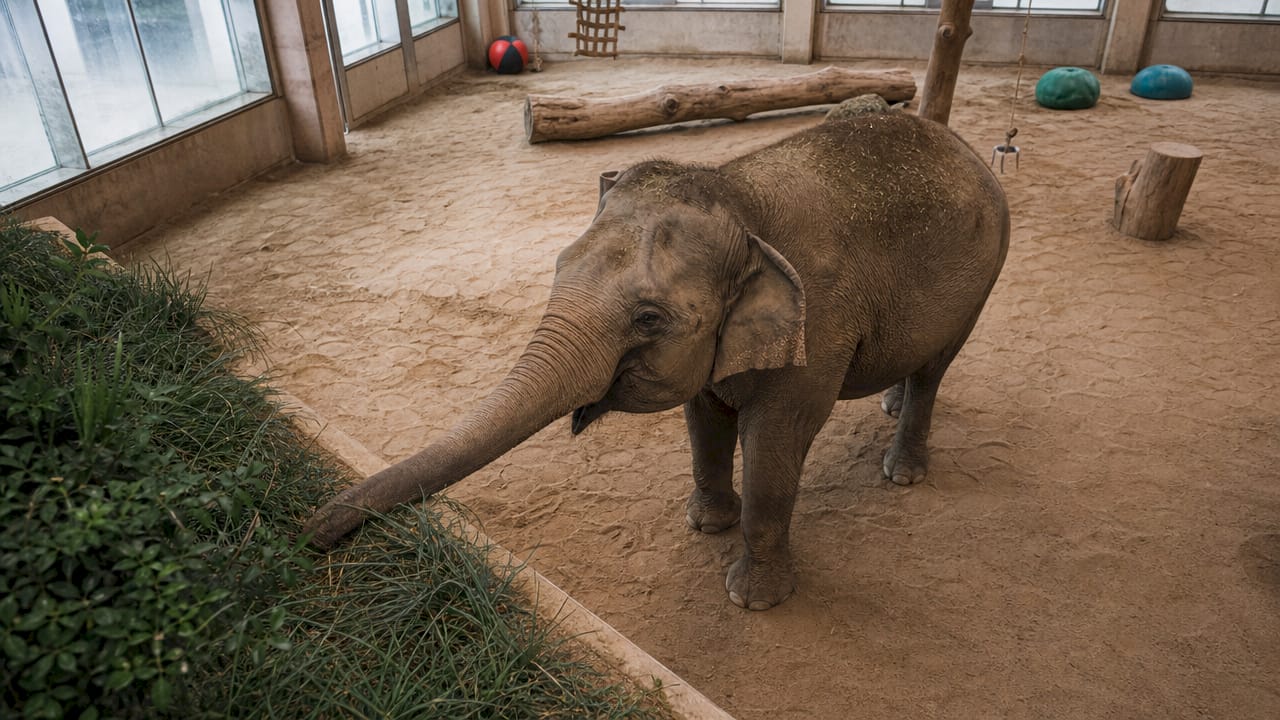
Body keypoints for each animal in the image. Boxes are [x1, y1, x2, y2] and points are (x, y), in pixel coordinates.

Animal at [302, 109, 1009, 611]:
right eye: (557, 266)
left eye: (648, 319)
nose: (307, 537)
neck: (740, 197)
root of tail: (966, 145)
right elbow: (704, 420)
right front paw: (705, 524)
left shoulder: (821, 327)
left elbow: (776, 444)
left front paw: (753, 601)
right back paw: (887, 403)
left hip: (984, 276)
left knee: (937, 369)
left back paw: (904, 472)